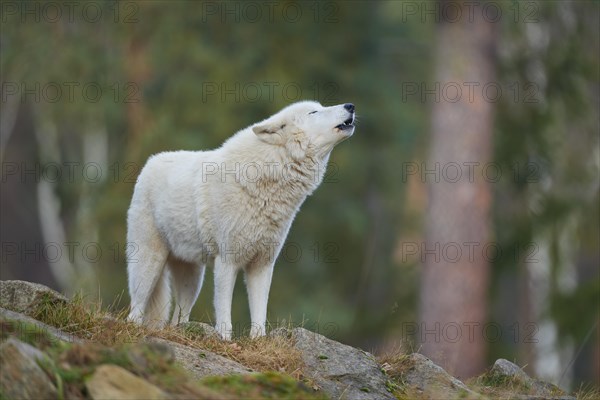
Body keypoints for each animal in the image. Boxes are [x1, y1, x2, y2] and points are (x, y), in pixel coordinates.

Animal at [125, 100, 354, 338]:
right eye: (314, 112)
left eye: (319, 107)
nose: (350, 105)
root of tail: (149, 162)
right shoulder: (227, 261)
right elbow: (224, 311)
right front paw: (224, 339)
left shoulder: (262, 264)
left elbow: (260, 311)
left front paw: (258, 340)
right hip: (149, 264)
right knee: (135, 309)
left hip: (193, 276)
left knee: (180, 314)